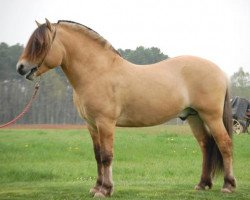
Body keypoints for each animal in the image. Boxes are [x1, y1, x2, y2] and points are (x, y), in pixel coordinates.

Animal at [16, 19, 235, 198]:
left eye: (40, 44)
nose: (21, 67)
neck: (97, 72)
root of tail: (220, 72)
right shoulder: (92, 125)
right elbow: (97, 156)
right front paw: (96, 187)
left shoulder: (105, 123)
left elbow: (106, 156)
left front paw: (105, 190)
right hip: (193, 117)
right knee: (206, 145)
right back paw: (202, 184)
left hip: (211, 116)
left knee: (224, 144)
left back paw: (228, 185)